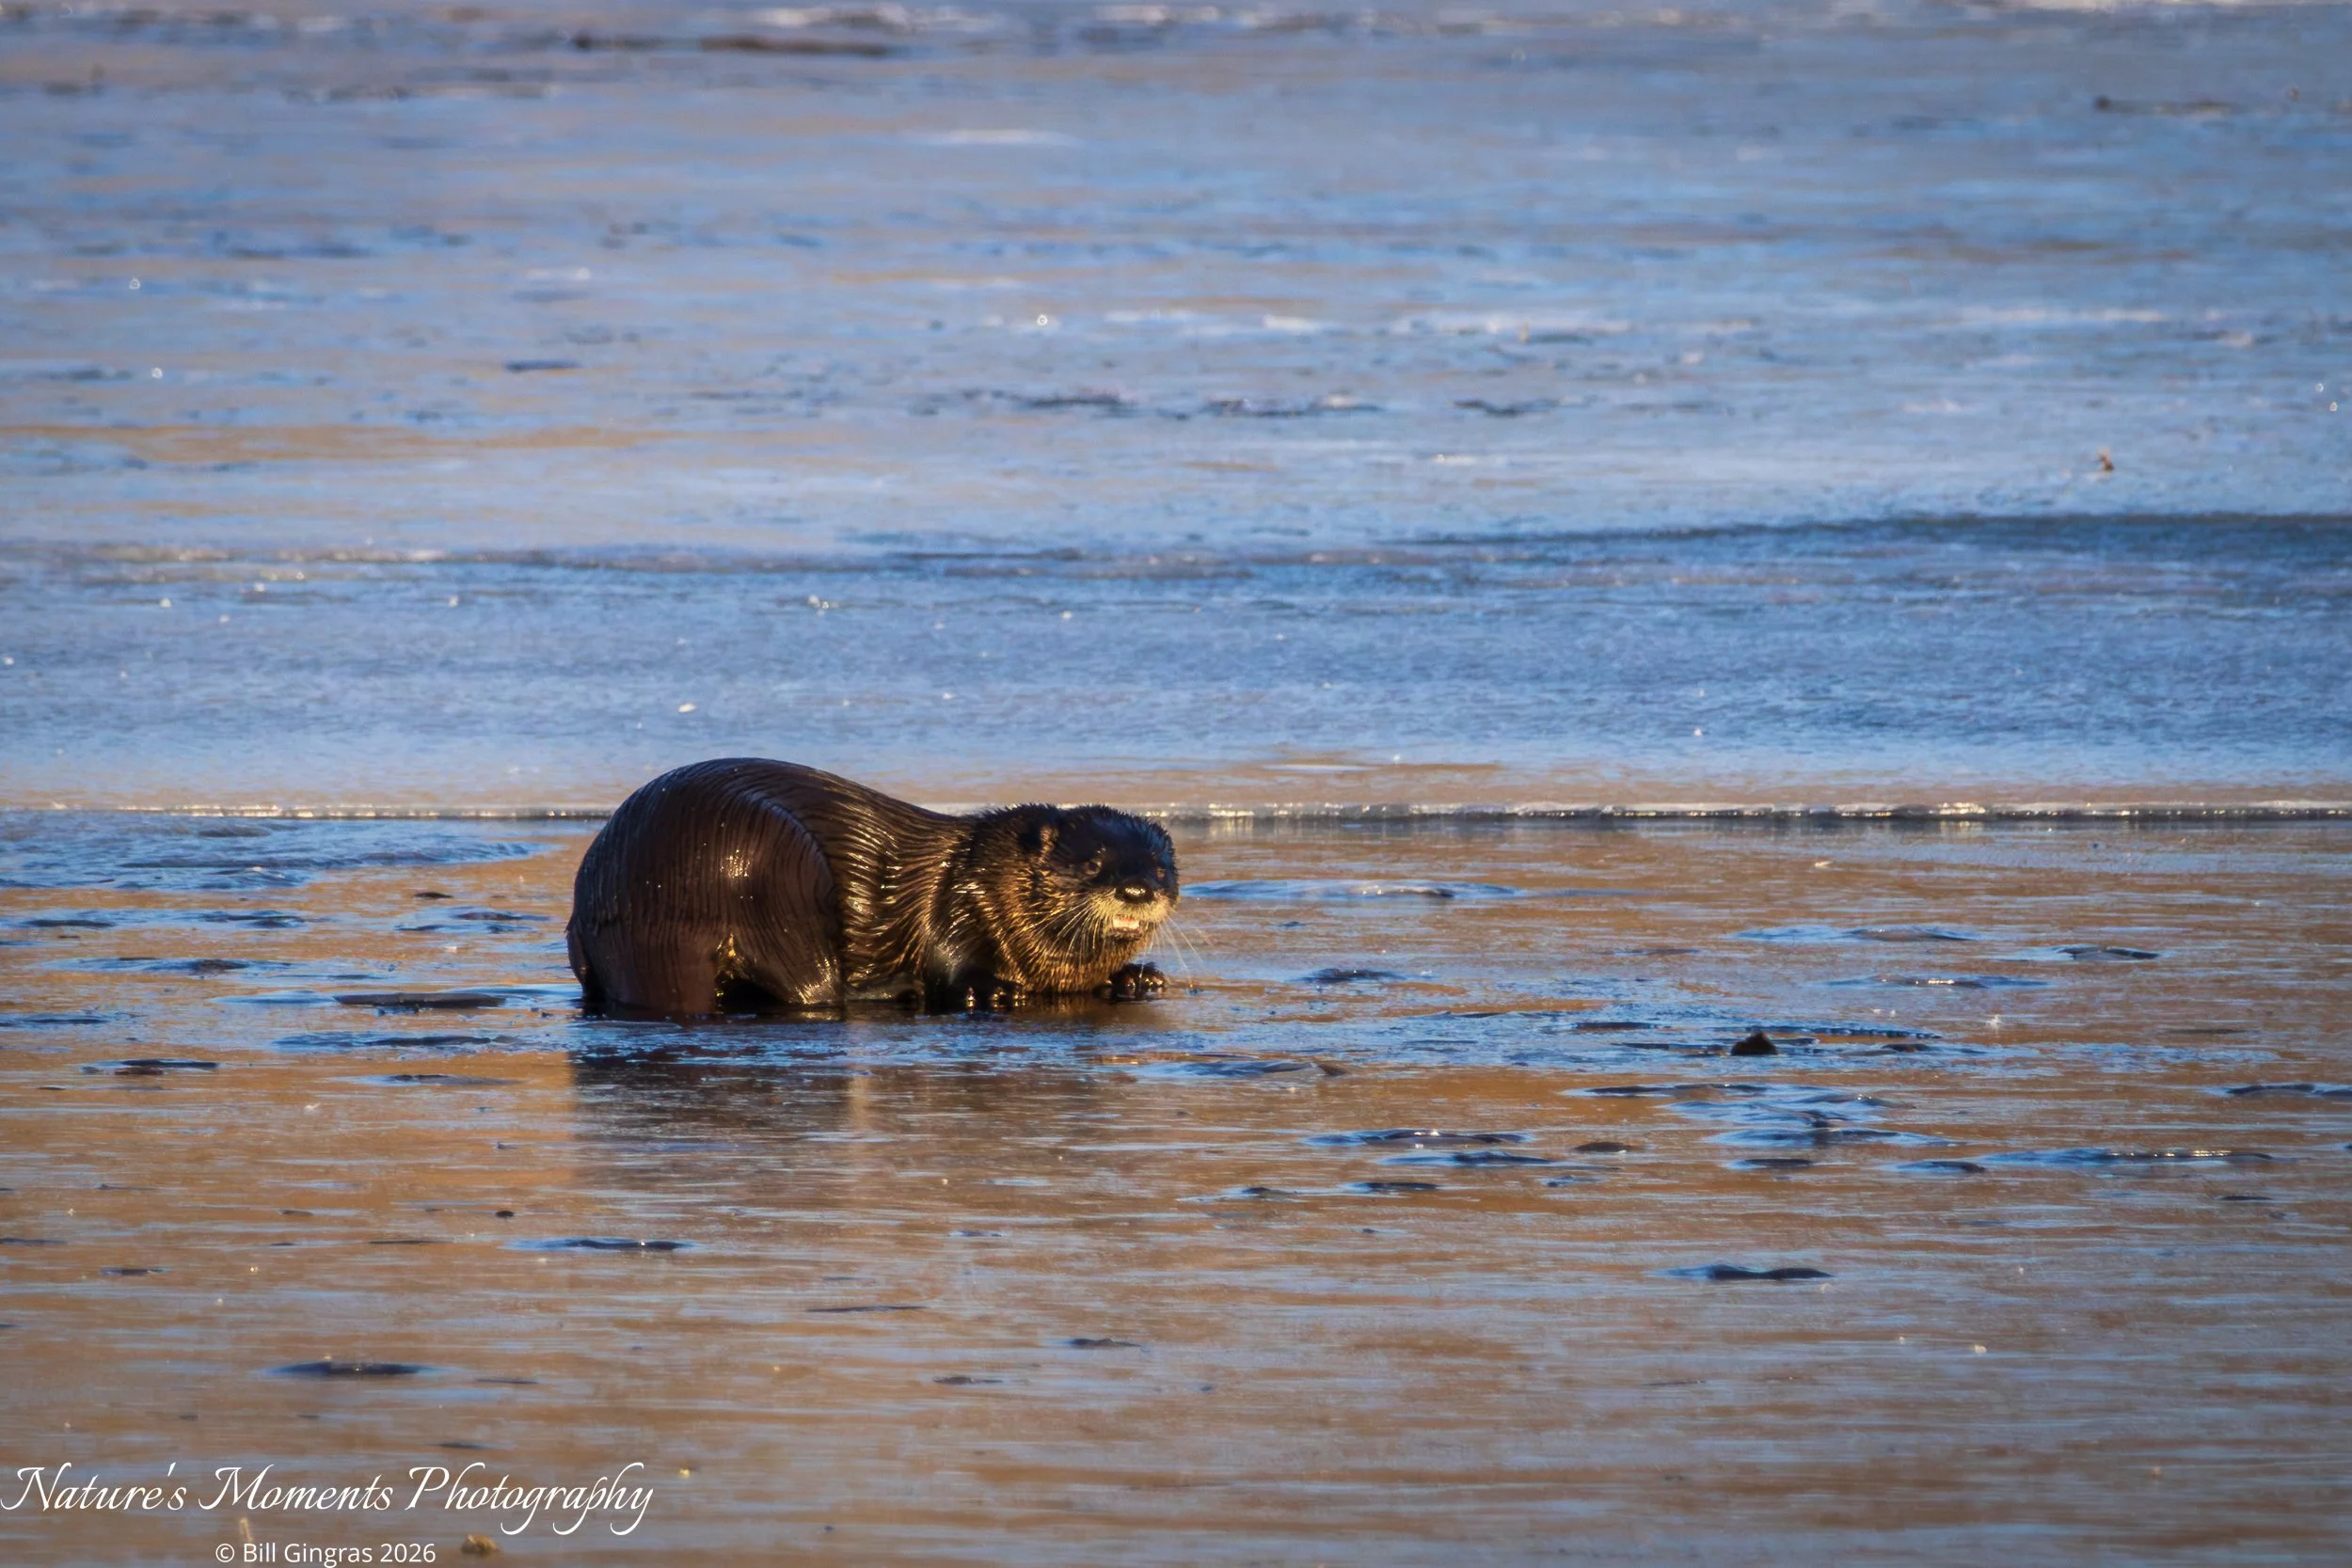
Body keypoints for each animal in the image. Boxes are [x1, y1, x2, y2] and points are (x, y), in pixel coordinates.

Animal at [565, 759, 1176, 1017]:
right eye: (1094, 864)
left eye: (1159, 868)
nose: (1137, 891)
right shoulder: (959, 904)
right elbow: (954, 964)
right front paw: (996, 990)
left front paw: (1137, 976)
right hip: (781, 872)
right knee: (812, 988)